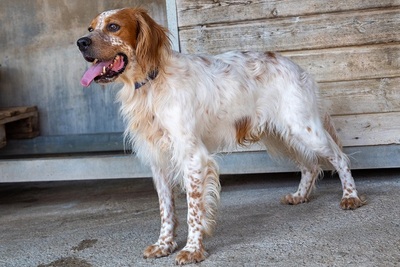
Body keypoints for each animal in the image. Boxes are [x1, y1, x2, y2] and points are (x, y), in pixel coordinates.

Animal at [76, 7, 366, 266]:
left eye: (114, 26)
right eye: (90, 28)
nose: (80, 42)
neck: (152, 84)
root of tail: (297, 66)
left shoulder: (192, 157)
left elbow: (194, 210)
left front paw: (192, 250)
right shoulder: (158, 161)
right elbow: (166, 209)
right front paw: (164, 245)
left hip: (303, 128)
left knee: (339, 158)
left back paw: (350, 197)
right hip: (282, 135)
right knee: (310, 165)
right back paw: (300, 195)